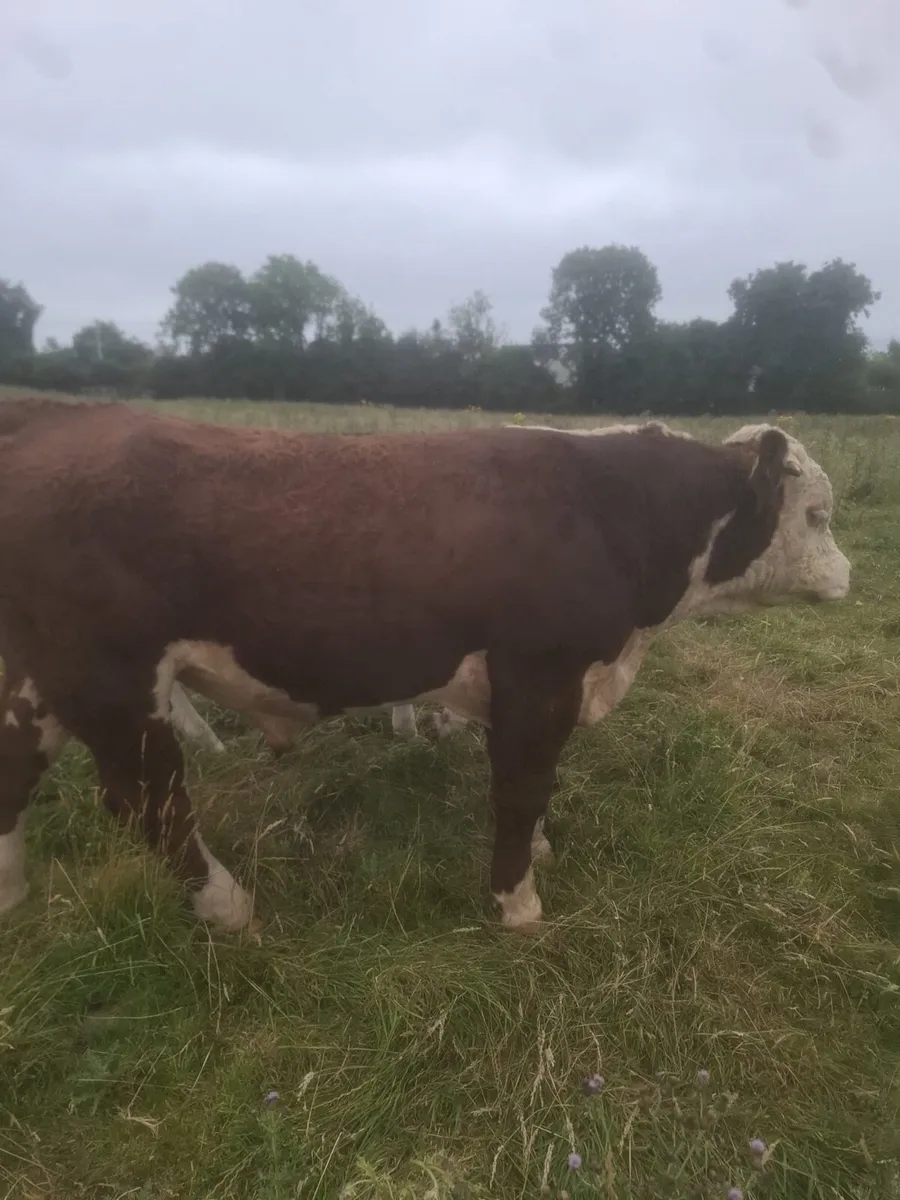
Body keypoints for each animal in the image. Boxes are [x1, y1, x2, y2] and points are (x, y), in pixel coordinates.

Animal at [0, 399, 850, 935]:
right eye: (818, 515)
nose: (849, 576)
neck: (610, 510)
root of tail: (57, 416)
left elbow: (530, 786)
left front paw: (538, 853)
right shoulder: (540, 675)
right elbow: (522, 787)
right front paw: (518, 904)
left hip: (38, 683)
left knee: (17, 775)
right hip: (111, 682)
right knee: (149, 803)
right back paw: (229, 909)